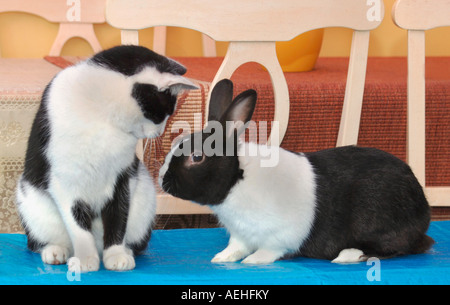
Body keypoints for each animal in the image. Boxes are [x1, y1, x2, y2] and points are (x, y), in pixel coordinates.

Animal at [16, 45, 196, 270]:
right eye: (164, 113)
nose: (160, 132)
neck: (102, 115)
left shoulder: (124, 176)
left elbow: (118, 216)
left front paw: (116, 254)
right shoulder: (64, 182)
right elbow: (78, 226)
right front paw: (85, 259)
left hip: (144, 195)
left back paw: (126, 250)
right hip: (29, 199)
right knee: (39, 240)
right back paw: (55, 250)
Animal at [160, 79, 434, 262]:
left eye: (197, 157)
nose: (162, 180)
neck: (237, 179)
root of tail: (423, 208)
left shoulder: (280, 235)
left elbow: (268, 251)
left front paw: (252, 261)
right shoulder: (241, 234)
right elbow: (236, 247)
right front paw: (221, 258)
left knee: (403, 247)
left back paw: (348, 255)